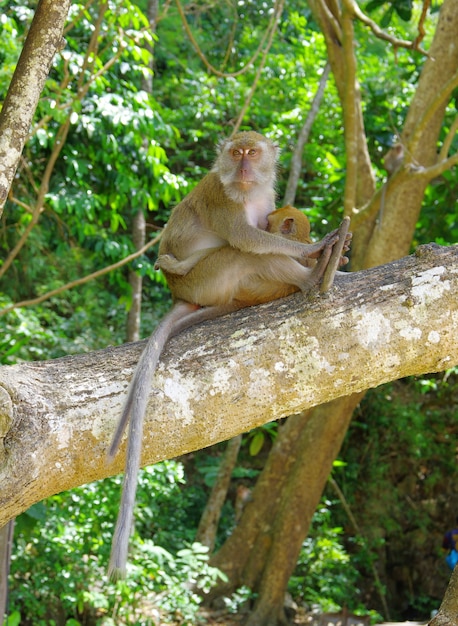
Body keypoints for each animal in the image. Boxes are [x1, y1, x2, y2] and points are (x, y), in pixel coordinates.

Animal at [107, 129, 350, 576]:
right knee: (240, 252)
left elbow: (262, 235)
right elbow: (249, 238)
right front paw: (314, 250)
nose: (243, 166)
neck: (247, 191)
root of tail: (181, 292)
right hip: (207, 279)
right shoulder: (224, 199)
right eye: (236, 153)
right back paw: (314, 276)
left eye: (252, 152)